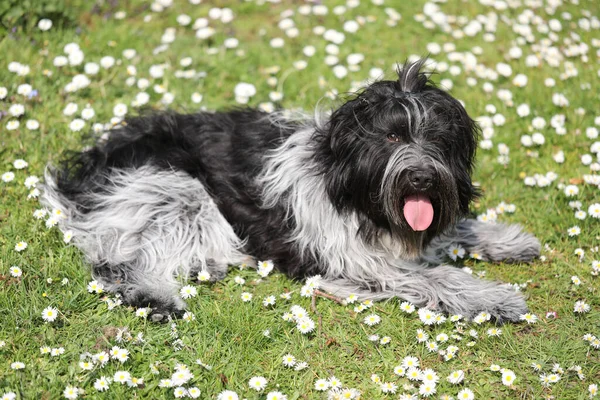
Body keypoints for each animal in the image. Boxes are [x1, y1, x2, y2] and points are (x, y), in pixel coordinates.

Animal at [41, 58, 540, 322]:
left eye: (437, 139)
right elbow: (433, 276)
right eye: (392, 137)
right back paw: (156, 295)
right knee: (117, 262)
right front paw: (493, 298)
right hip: (172, 188)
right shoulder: (354, 261)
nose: (421, 179)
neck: (350, 185)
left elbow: (454, 229)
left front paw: (509, 240)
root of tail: (88, 163)